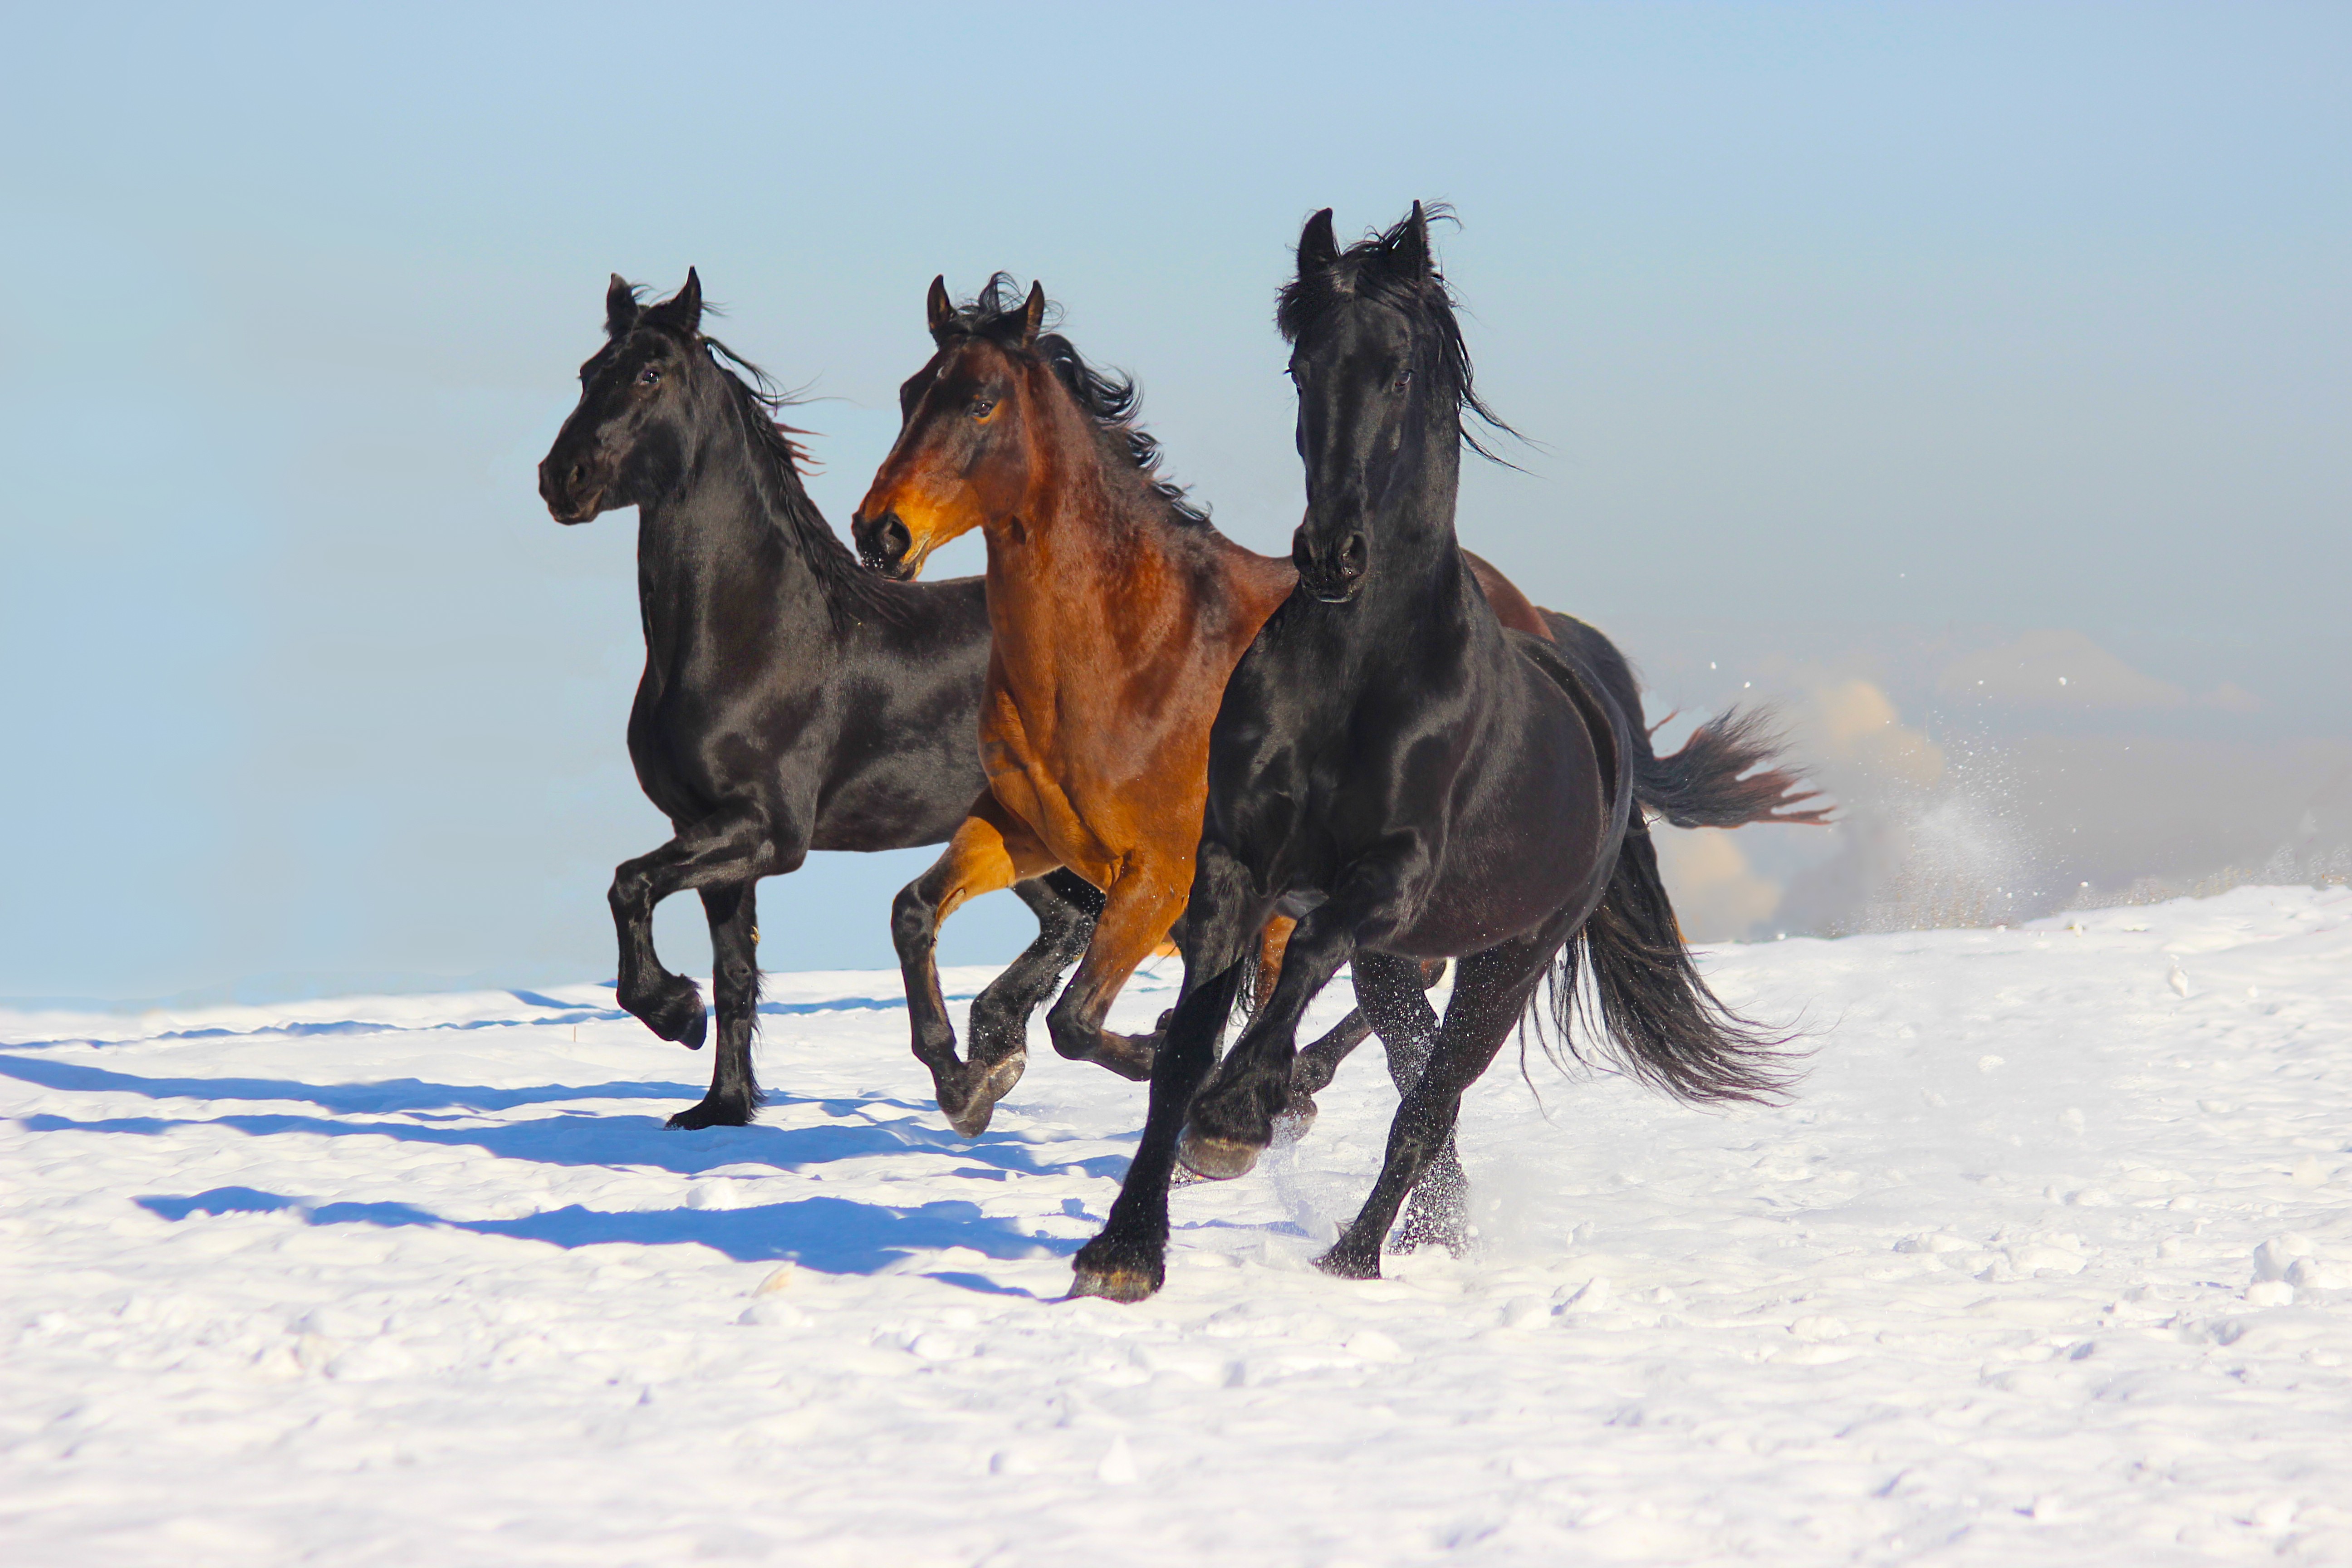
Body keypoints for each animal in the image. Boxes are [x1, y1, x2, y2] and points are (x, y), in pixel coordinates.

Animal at [535, 271, 1102, 1129]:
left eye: (648, 375)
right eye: (584, 373)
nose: (559, 480)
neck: (756, 636)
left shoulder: (768, 832)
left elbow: (629, 882)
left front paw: (675, 1013)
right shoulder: (707, 833)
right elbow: (734, 976)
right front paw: (720, 1108)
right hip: (1022, 837)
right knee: (1074, 920)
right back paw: (991, 1064)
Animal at [848, 275, 1571, 1147]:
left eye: (981, 403)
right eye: (909, 394)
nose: (880, 533)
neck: (1125, 655)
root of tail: (1528, 622)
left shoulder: (1159, 876)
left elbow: (1076, 1022)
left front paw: (1155, 1054)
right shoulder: (1026, 832)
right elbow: (914, 912)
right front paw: (967, 1079)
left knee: (1413, 974)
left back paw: (1292, 1085)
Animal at [1069, 206, 1827, 1303]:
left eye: (1398, 372)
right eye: (1302, 367)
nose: (1331, 554)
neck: (1356, 674)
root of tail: (1604, 723)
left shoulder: (1389, 874)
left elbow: (1302, 960)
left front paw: (1237, 1119)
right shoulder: (1232, 862)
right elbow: (1183, 1048)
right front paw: (1126, 1249)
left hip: (1508, 961)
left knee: (1429, 1103)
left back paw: (1354, 1254)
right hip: (1404, 960)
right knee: (1413, 1074)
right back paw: (1413, 1230)